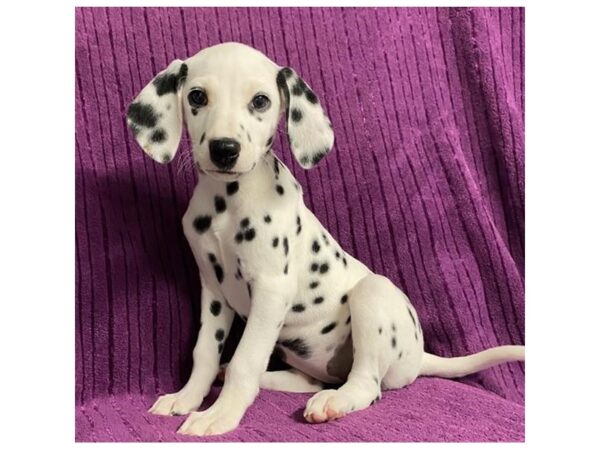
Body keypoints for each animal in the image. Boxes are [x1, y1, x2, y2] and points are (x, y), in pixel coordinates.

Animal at [126, 42, 524, 436]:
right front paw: (188, 397)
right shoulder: (213, 291)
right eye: (197, 96)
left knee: (366, 383)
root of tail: (418, 354)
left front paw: (219, 414)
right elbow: (206, 353)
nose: (225, 149)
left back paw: (334, 401)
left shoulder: (271, 290)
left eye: (260, 101)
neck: (227, 203)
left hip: (372, 294)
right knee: (305, 379)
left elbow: (245, 360)